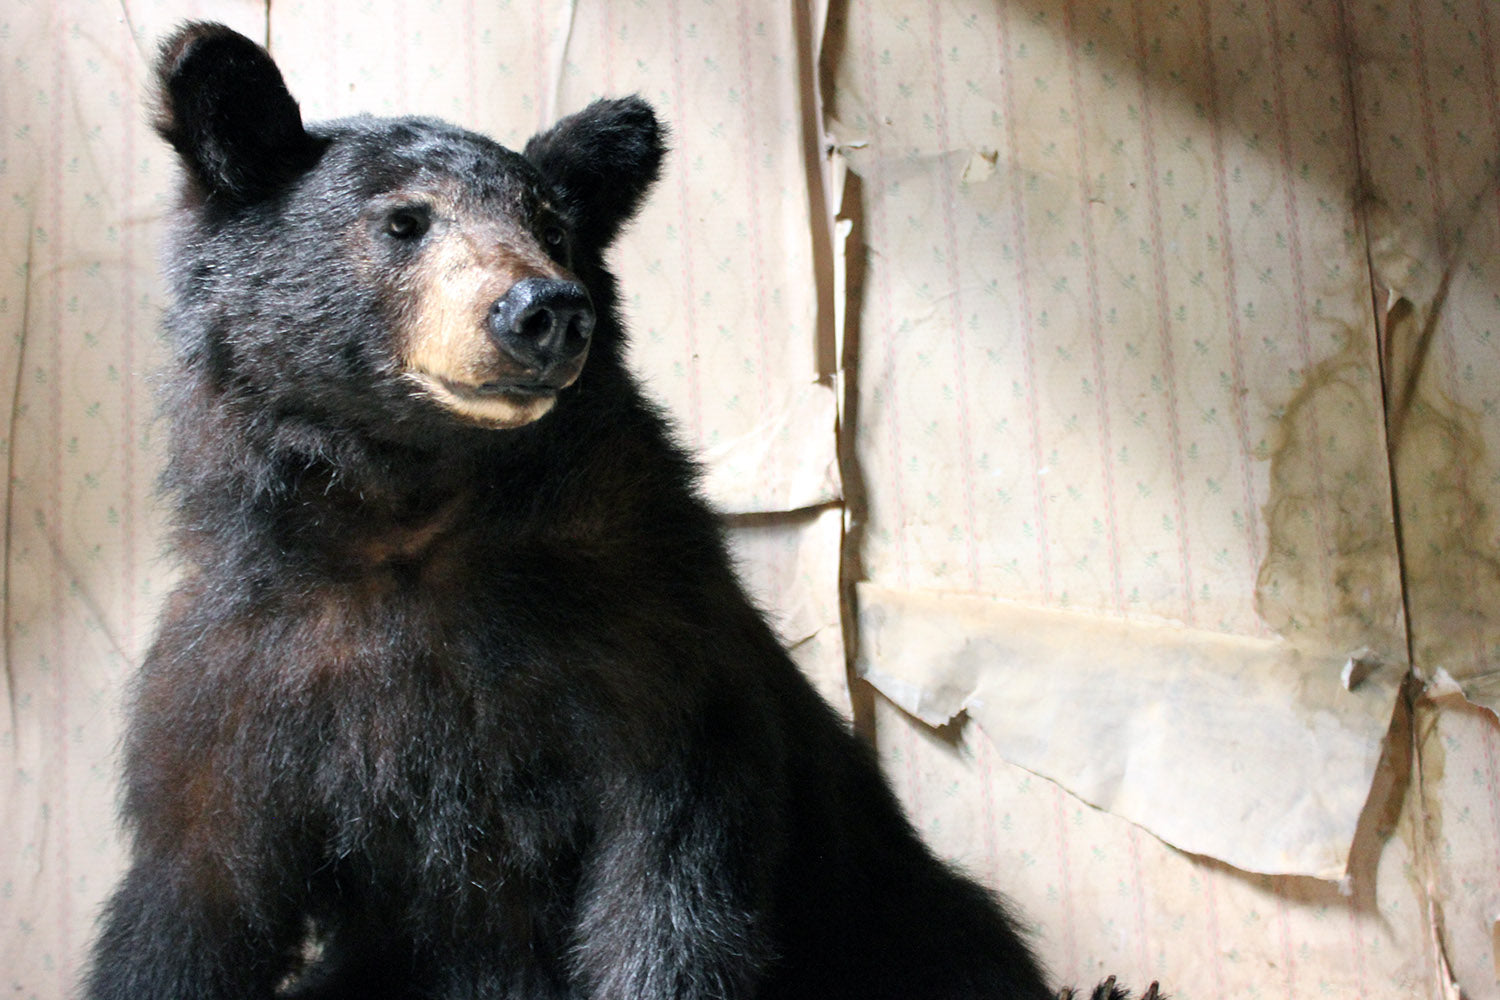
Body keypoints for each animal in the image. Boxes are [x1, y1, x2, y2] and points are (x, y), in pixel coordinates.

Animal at [84, 21, 1156, 1000]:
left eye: (553, 224)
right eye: (404, 221)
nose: (546, 309)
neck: (416, 515)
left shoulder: (647, 643)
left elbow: (668, 885)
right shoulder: (247, 680)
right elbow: (192, 891)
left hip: (892, 907)